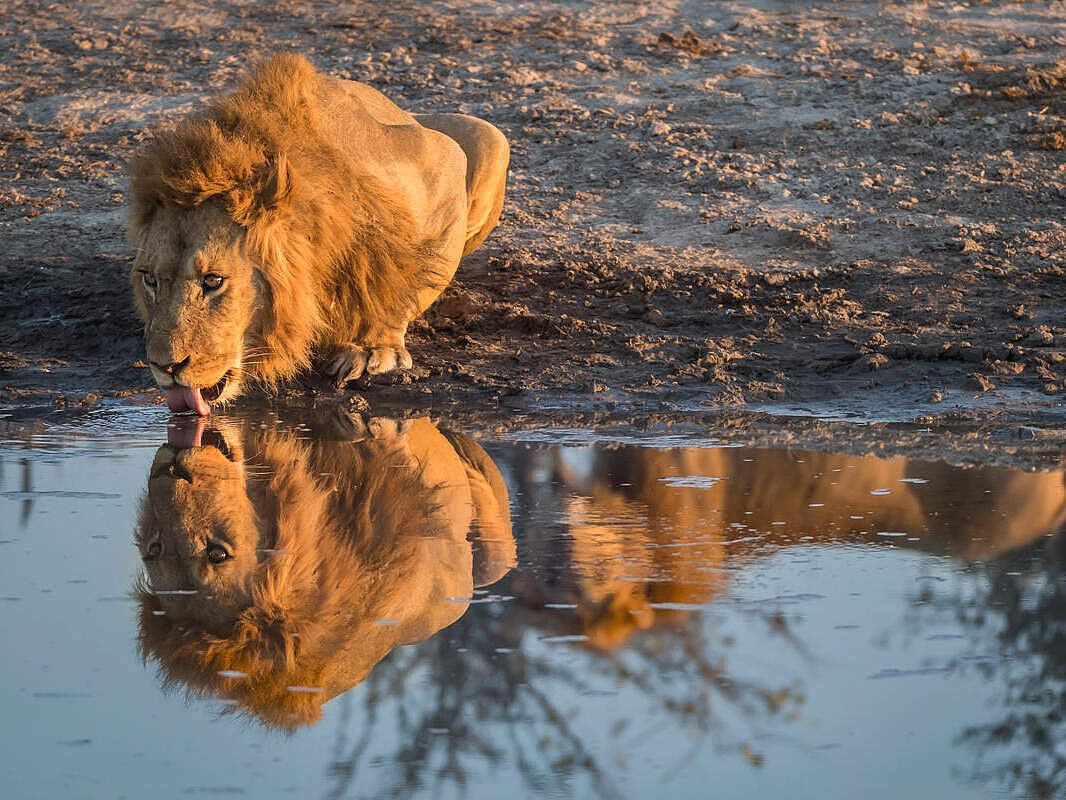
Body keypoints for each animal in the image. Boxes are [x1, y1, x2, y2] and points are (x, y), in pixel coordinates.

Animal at [126, 51, 509, 413]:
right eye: (150, 280)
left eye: (213, 281)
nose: (165, 367)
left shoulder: (444, 161)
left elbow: (404, 280)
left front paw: (371, 348)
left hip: (490, 134)